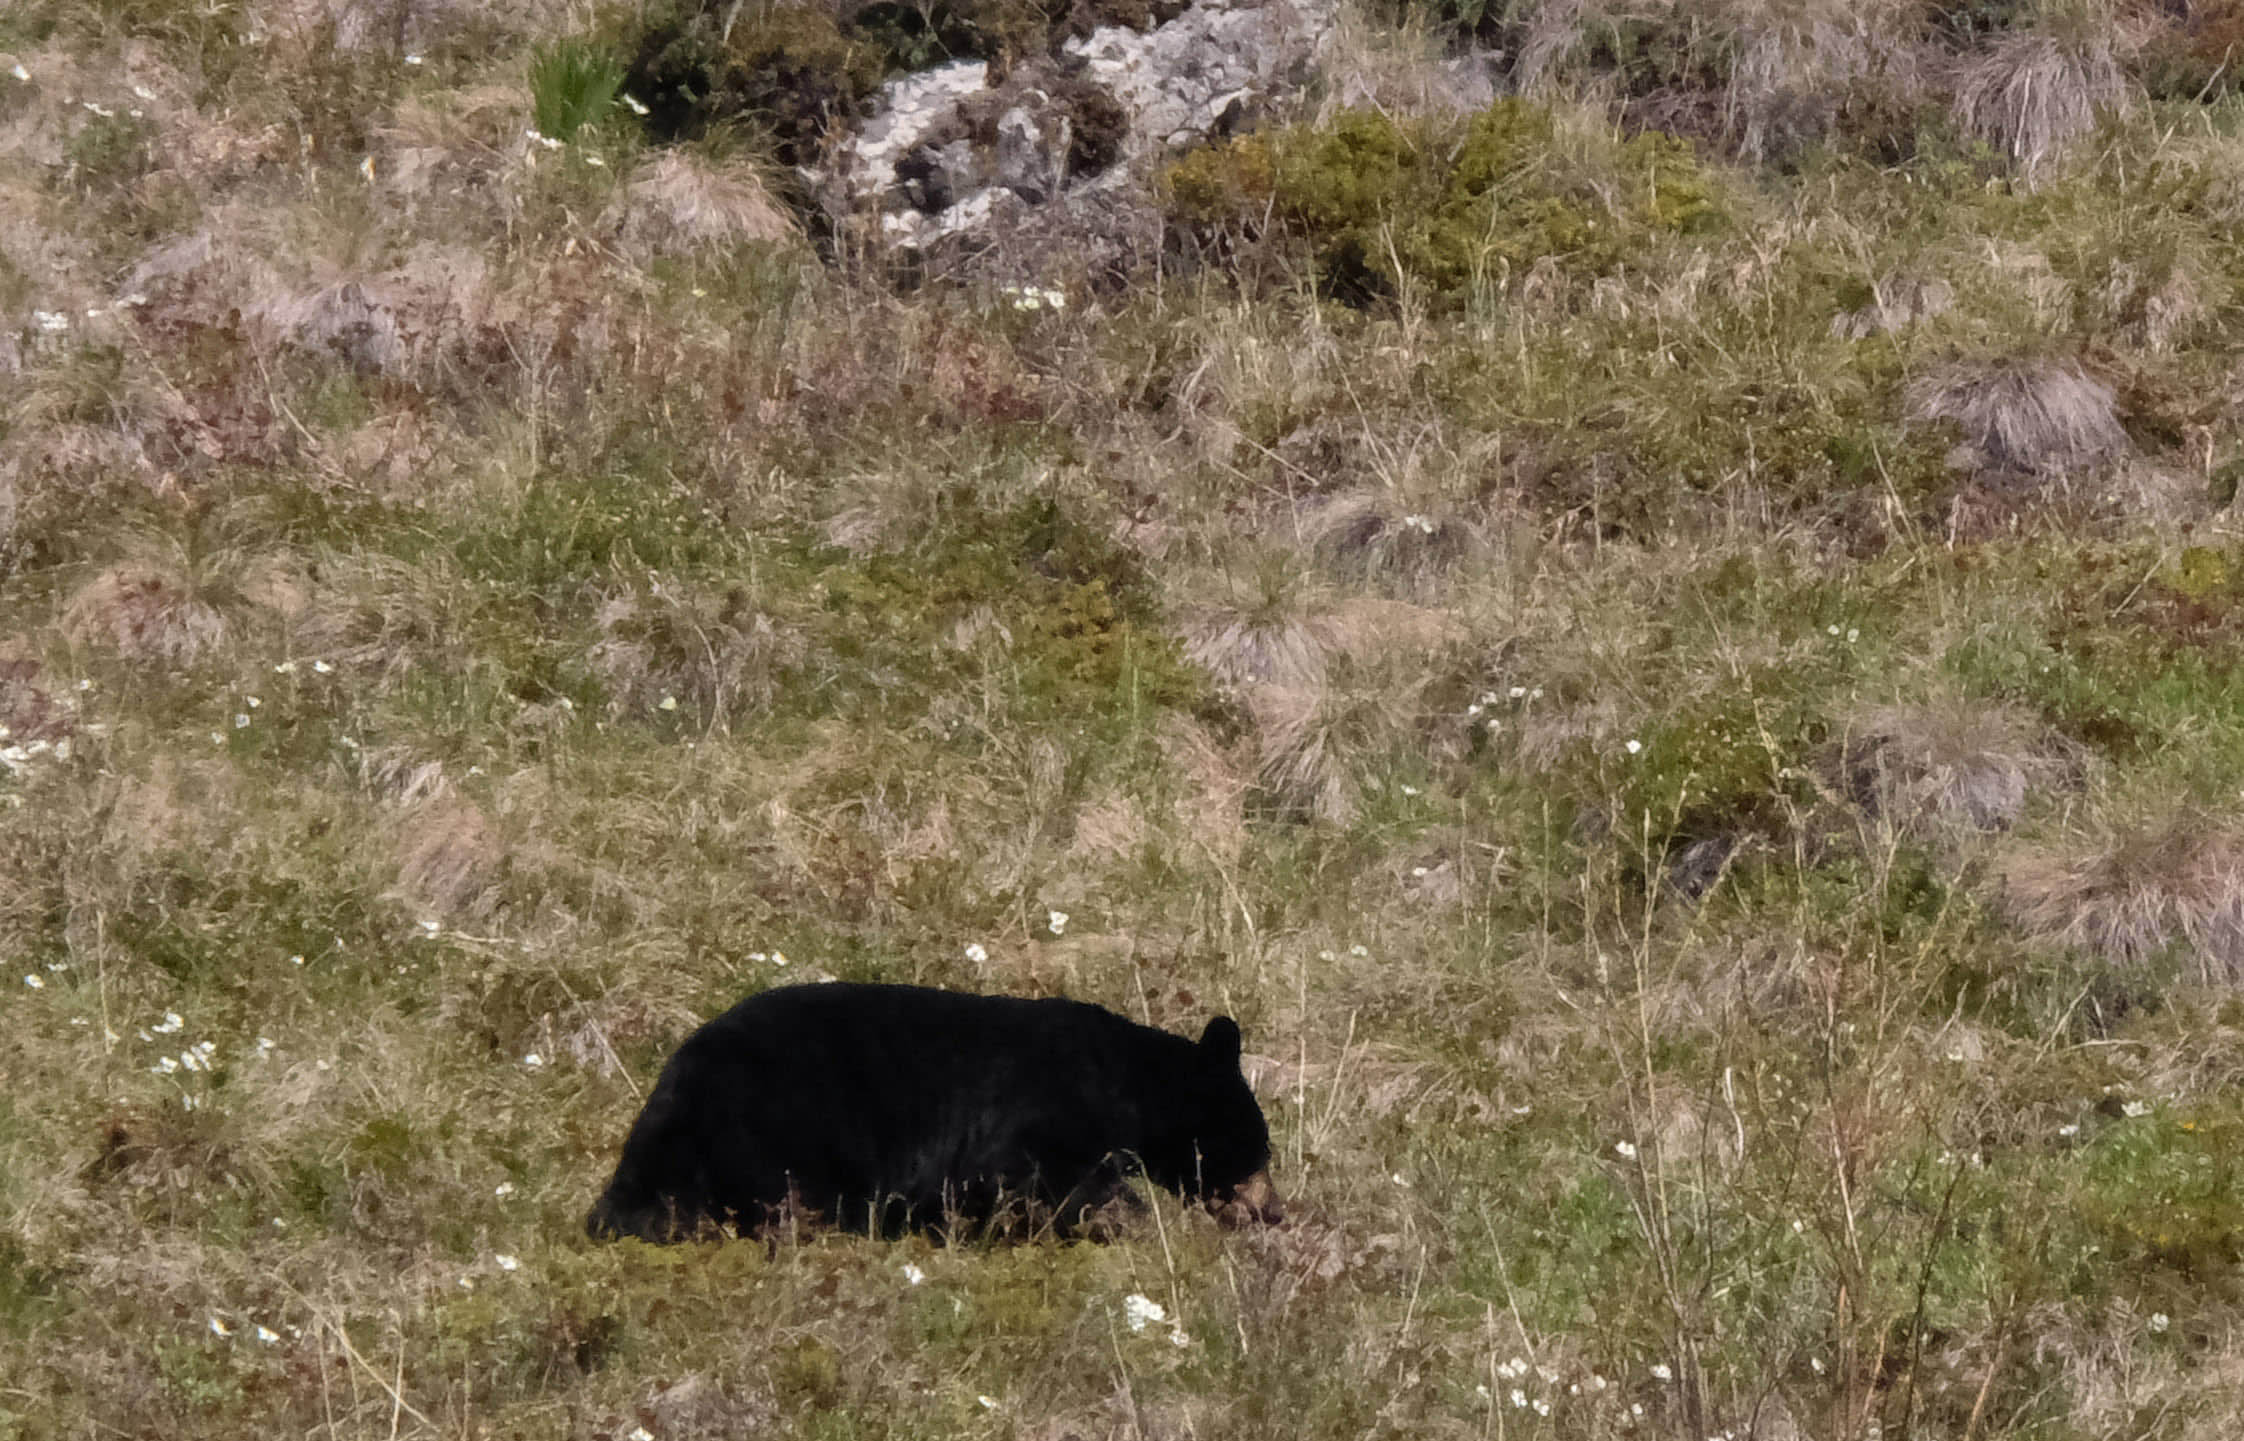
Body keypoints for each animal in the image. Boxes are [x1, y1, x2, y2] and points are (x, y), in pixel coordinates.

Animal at [585, 982, 1282, 1242]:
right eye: (1260, 1148)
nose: (1273, 1210)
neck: (1126, 1082)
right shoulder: (1039, 1107)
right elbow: (1035, 1174)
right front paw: (1128, 1219)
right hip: (778, 1121)